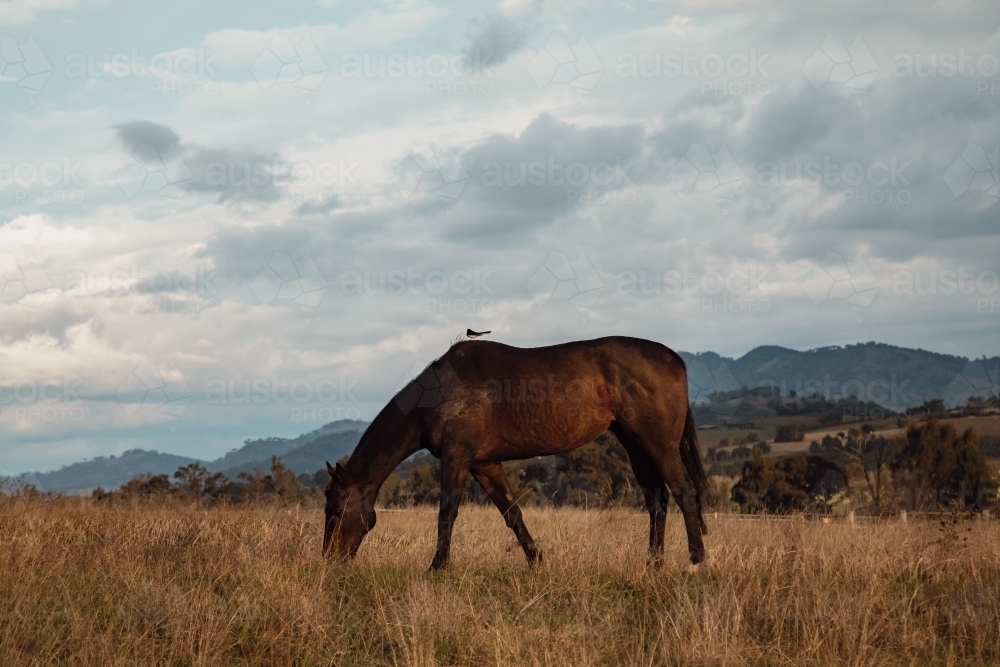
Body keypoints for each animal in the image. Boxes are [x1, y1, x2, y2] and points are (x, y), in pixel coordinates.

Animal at [323, 336, 709, 569]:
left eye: (337, 510)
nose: (328, 560)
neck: (439, 393)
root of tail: (673, 358)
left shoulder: (457, 456)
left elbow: (447, 513)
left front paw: (438, 567)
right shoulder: (484, 464)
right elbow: (513, 515)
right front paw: (536, 560)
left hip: (659, 445)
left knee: (683, 491)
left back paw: (696, 558)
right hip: (636, 446)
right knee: (656, 500)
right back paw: (653, 563)